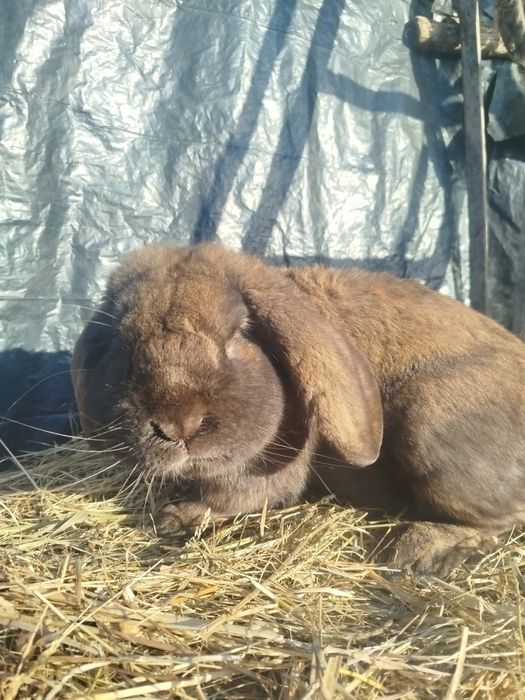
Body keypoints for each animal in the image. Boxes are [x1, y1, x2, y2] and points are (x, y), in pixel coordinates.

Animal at [71, 243, 525, 575]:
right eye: (125, 348)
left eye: (236, 335)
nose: (178, 425)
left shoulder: (264, 470)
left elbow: (233, 498)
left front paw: (174, 517)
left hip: (429, 427)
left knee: (502, 519)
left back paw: (419, 550)